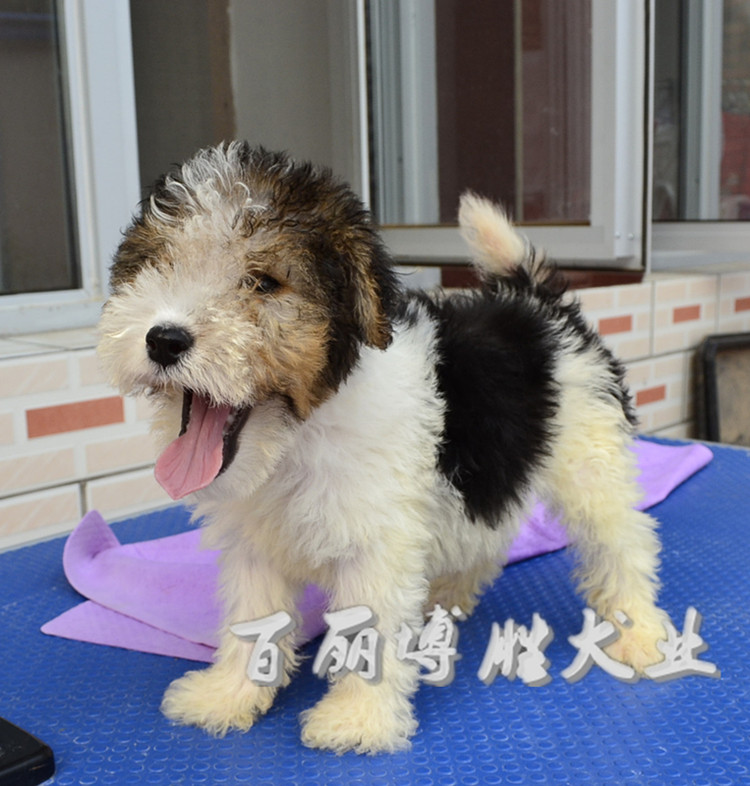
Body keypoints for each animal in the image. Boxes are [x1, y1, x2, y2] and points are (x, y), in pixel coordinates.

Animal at [98, 142, 668, 752]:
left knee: (622, 543)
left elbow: (368, 626)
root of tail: (536, 302)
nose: (164, 339)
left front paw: (358, 718)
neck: (297, 438)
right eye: (157, 265)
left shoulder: (375, 546)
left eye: (264, 282)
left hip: (590, 458)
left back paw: (637, 631)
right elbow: (250, 617)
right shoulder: (254, 546)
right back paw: (446, 599)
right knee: (492, 528)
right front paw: (229, 694)